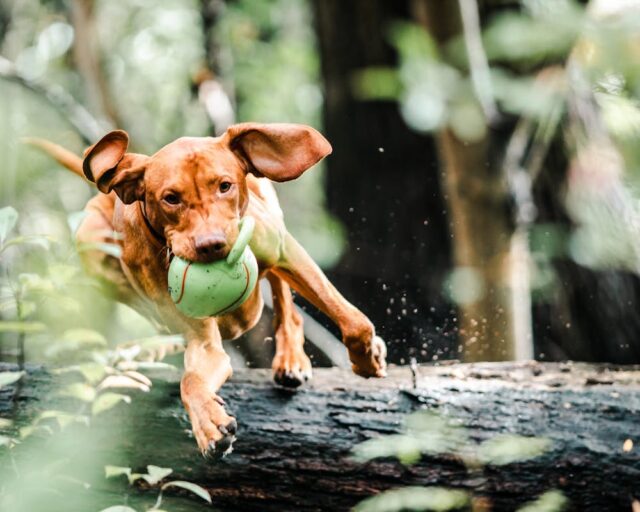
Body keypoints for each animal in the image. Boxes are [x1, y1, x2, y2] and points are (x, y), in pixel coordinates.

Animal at [32, 123, 388, 456]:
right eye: (171, 198)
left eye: (225, 186)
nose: (211, 245)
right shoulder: (202, 339)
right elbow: (191, 378)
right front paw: (208, 424)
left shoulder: (285, 251)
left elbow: (353, 322)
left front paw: (367, 358)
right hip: (91, 241)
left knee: (283, 296)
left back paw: (291, 358)